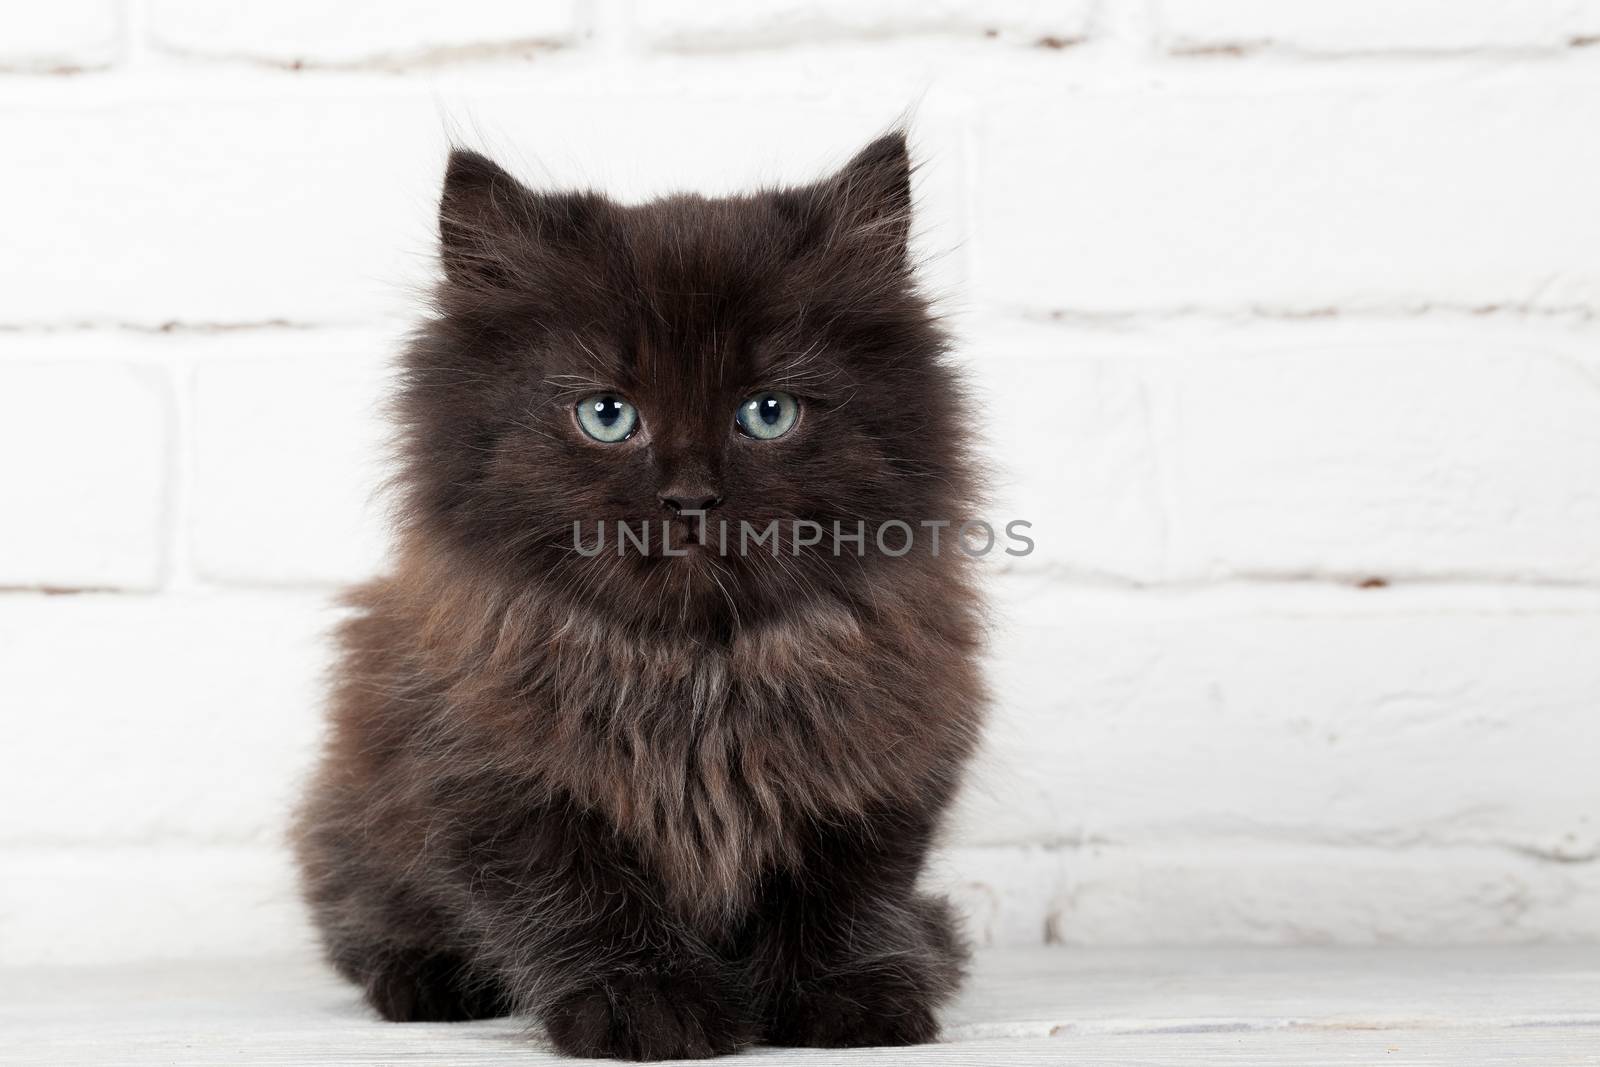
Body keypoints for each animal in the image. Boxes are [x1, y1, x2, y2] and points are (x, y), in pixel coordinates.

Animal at [292, 129, 979, 1055]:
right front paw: (645, 1008)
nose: (689, 499)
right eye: (607, 415)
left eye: (768, 413)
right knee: (369, 921)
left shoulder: (883, 769)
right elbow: (583, 900)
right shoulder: (491, 777)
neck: (696, 670)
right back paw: (428, 977)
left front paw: (850, 997)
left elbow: (847, 895)